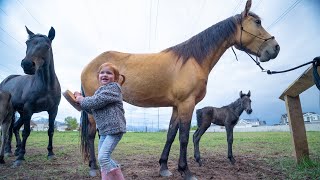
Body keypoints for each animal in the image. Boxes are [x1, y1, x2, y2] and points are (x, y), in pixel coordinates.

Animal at [0, 26, 61, 166]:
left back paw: (16, 149)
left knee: (15, 127)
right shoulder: (29, 109)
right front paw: (20, 158)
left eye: (47, 46)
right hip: (13, 112)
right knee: (9, 129)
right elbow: (26, 132)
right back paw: (8, 150)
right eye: (27, 43)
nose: (27, 64)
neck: (45, 85)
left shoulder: (53, 110)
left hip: (21, 113)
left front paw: (50, 153)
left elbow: (50, 130)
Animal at [67, 1, 280, 179]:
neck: (194, 59)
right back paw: (93, 167)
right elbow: (184, 137)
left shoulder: (177, 106)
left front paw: (164, 167)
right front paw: (186, 171)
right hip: (94, 108)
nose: (275, 48)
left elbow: (171, 135)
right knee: (91, 134)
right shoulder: (187, 104)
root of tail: (90, 65)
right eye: (258, 22)